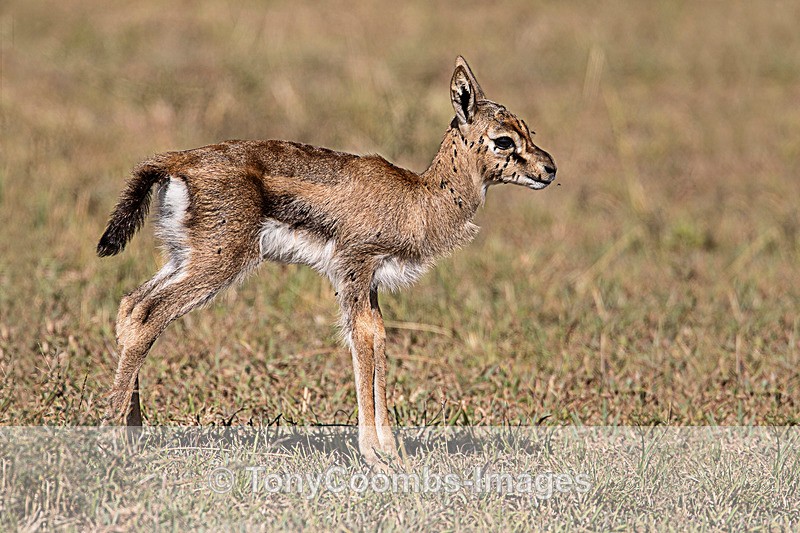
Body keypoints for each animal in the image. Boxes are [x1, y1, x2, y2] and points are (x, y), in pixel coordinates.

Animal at [98, 56, 556, 464]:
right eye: (503, 140)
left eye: (528, 130)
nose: (549, 169)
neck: (420, 198)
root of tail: (177, 160)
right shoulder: (354, 270)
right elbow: (363, 340)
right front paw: (376, 458)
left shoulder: (369, 283)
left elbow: (378, 338)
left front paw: (395, 455)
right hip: (218, 264)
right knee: (149, 315)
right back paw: (112, 441)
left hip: (184, 259)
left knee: (131, 306)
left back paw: (130, 431)